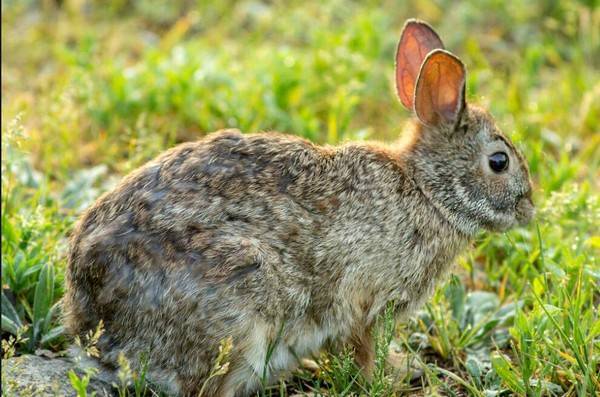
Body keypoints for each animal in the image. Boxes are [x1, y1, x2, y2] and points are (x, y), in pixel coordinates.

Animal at [64, 19, 536, 396]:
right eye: (499, 162)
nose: (529, 208)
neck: (427, 191)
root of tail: (93, 328)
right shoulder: (368, 304)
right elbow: (366, 350)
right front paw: (392, 376)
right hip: (242, 310)